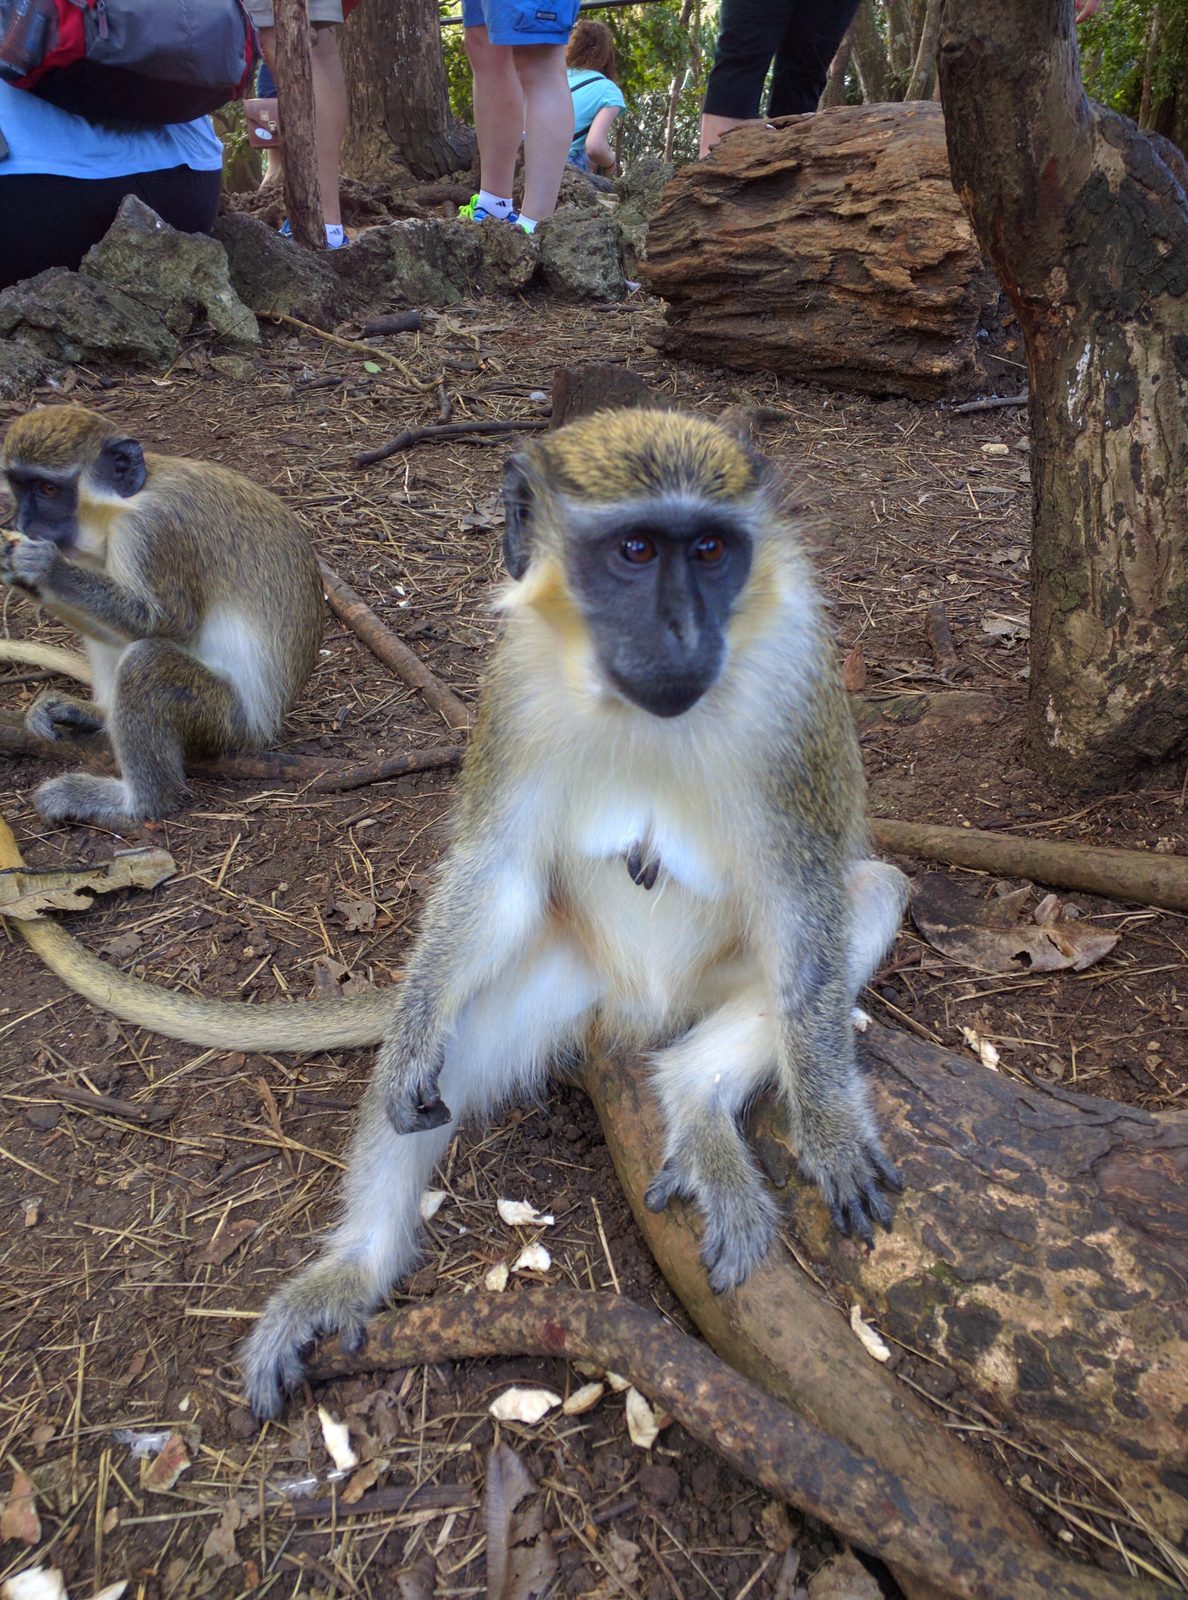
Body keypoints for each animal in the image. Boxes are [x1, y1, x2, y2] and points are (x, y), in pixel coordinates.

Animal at [0, 404, 324, 829]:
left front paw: (46, 568)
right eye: (18, 486)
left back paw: (136, 802)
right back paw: (101, 714)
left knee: (146, 661)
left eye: (48, 489)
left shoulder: (151, 532)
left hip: (224, 722)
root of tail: (265, 728)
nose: (21, 525)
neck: (124, 503)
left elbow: (169, 623)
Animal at [240, 407, 910, 1420]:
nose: (682, 628)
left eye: (710, 550)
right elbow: (499, 871)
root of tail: (639, 1003)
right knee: (448, 1065)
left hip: (708, 979)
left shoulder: (796, 685)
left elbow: (806, 901)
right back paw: (353, 1268)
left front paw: (830, 1125)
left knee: (861, 904)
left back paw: (698, 1096)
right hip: (566, 973)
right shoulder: (513, 686)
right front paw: (411, 1035)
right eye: (634, 550)